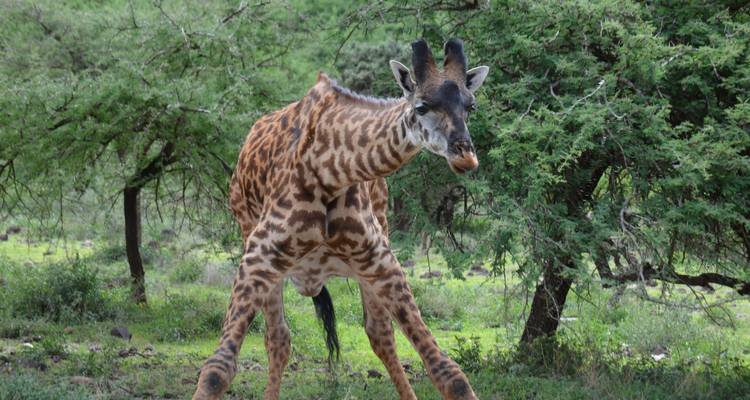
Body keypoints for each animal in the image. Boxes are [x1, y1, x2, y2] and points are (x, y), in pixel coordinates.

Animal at [193, 38, 490, 400]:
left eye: (471, 106)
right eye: (421, 107)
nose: (466, 156)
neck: (331, 169)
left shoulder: (380, 260)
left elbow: (449, 373)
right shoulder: (257, 257)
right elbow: (216, 370)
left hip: (368, 256)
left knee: (379, 334)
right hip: (260, 250)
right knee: (278, 338)